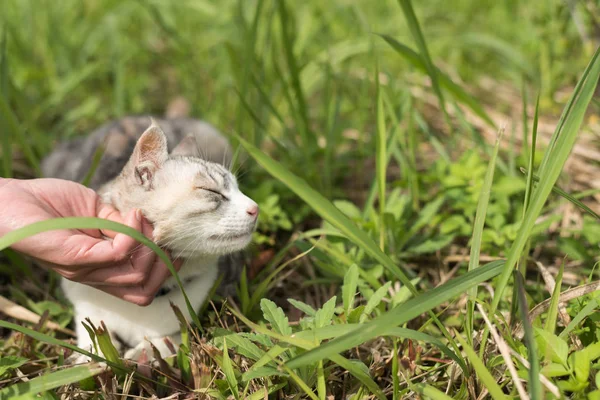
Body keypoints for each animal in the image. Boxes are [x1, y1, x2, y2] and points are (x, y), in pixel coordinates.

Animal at [41, 116, 258, 360]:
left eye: (239, 188)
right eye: (213, 192)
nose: (255, 208)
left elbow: (168, 341)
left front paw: (142, 354)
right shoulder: (82, 304)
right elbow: (92, 332)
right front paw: (90, 355)